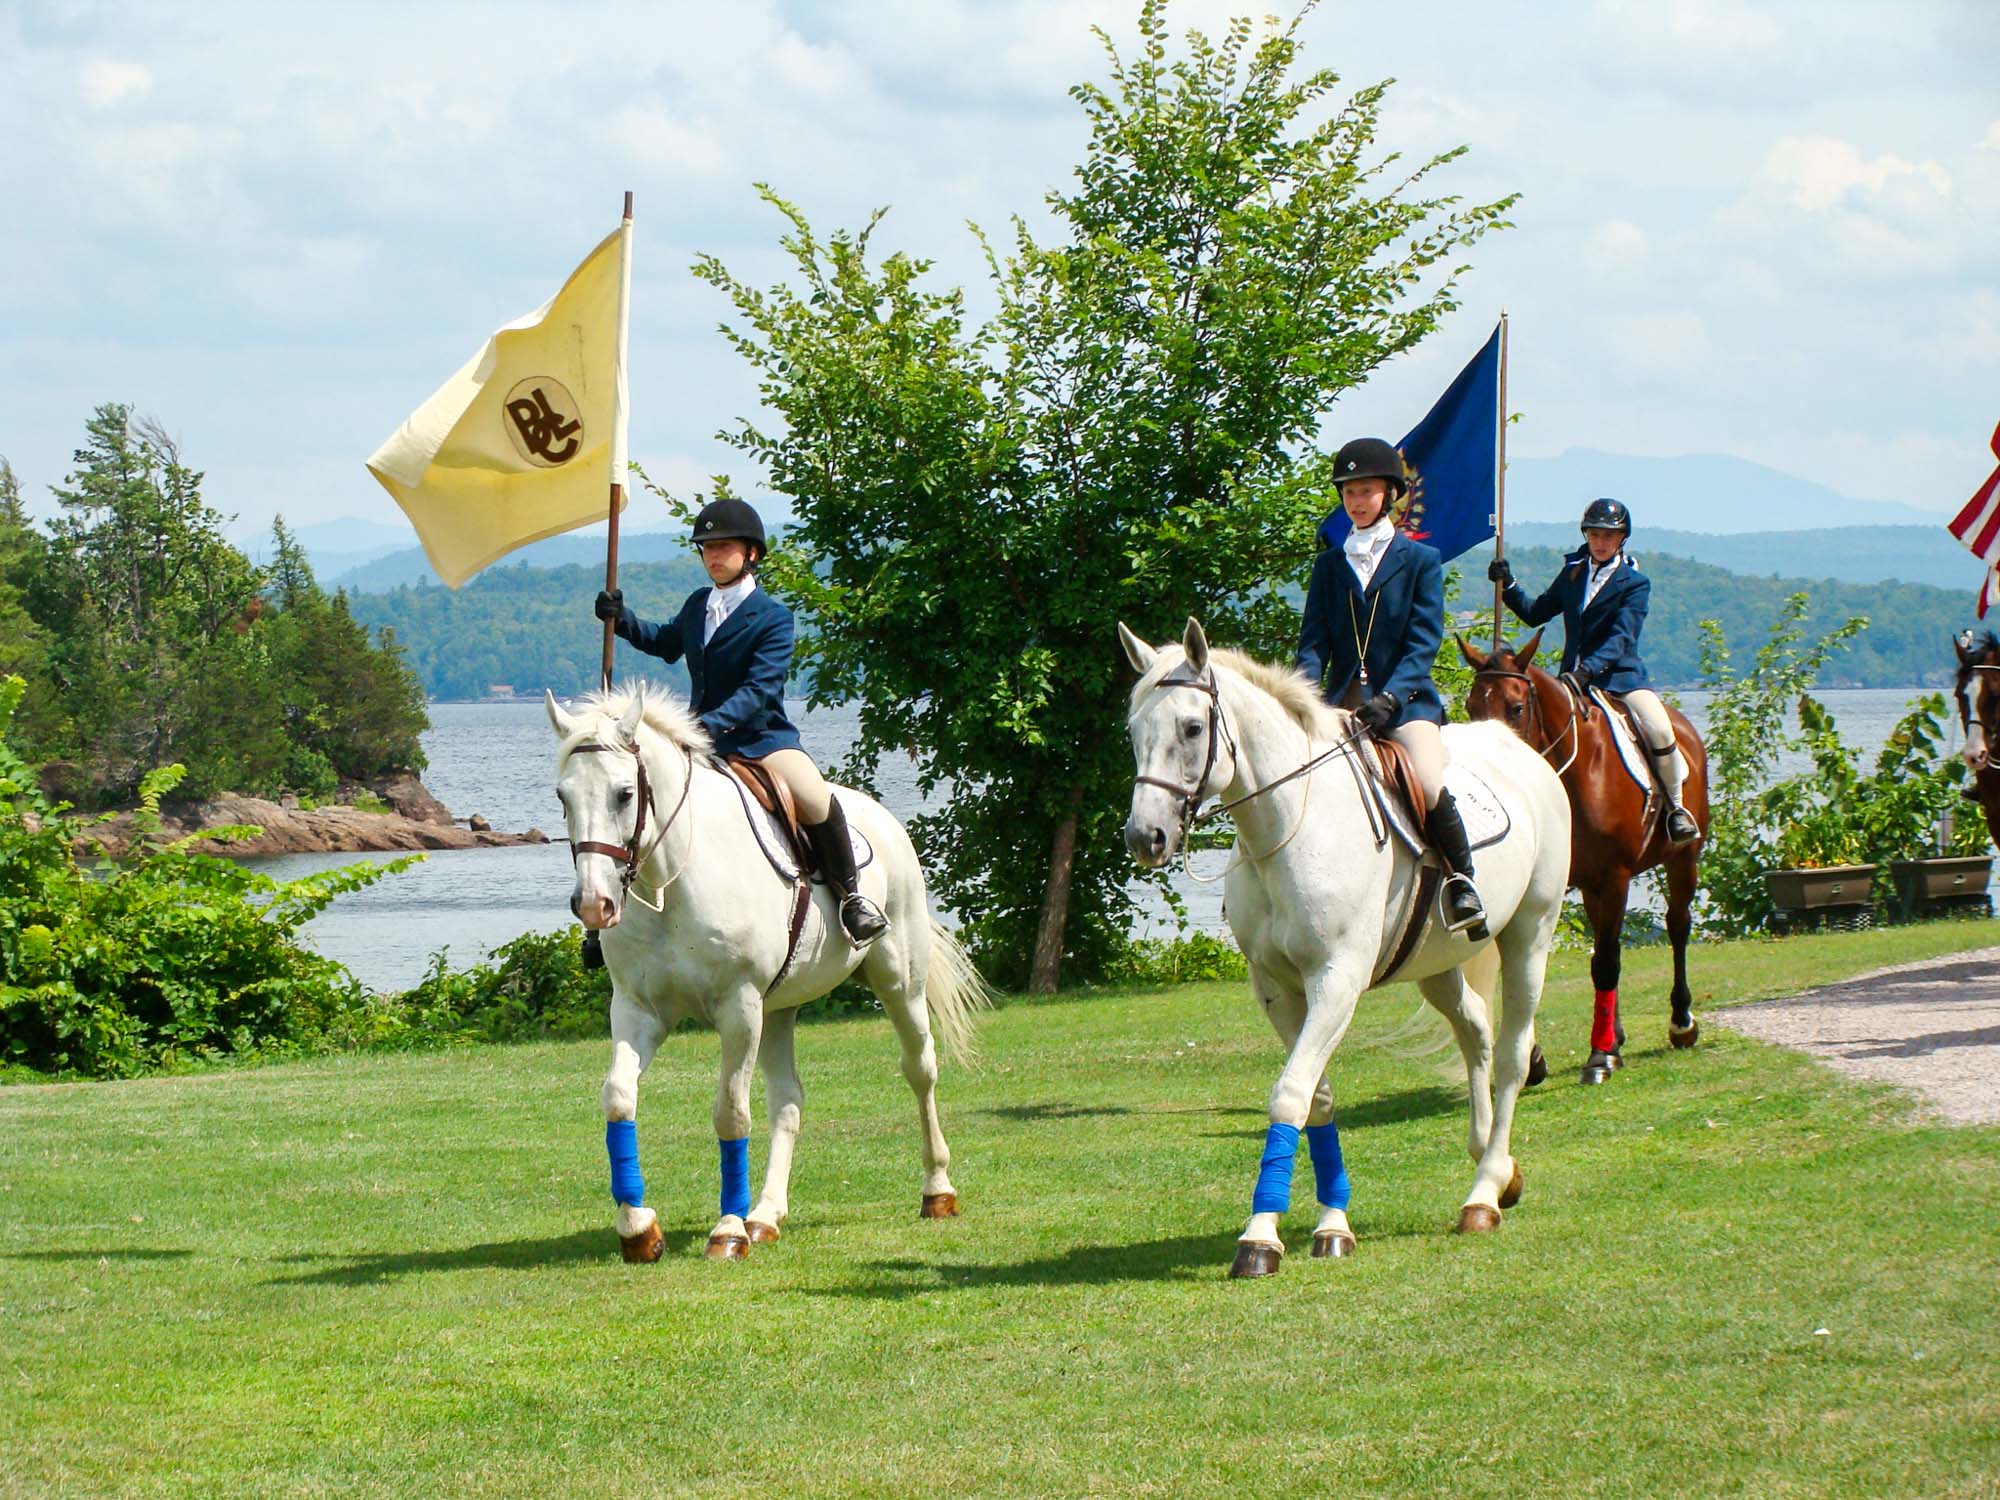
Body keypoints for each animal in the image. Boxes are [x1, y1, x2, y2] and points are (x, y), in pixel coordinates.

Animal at [547, 685, 989, 1263]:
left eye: (624, 794)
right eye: (563, 798)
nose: (593, 905)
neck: (673, 880)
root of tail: (883, 818)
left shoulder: (739, 1008)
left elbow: (731, 1113)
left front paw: (727, 1230)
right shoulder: (638, 1010)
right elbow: (619, 1098)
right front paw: (638, 1228)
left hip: (898, 983)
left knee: (920, 1070)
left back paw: (936, 1191)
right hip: (779, 1008)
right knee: (788, 1100)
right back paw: (766, 1215)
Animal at [1120, 619, 1571, 1278]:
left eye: (1192, 728)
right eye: (1133, 731)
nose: (1146, 837)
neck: (1289, 826)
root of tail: (1511, 743)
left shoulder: (1336, 980)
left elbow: (1289, 1095)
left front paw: (1259, 1240)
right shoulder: (1278, 988)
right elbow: (1318, 1098)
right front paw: (1333, 1225)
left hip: (1529, 938)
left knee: (1513, 1057)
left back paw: (1485, 1194)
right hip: (1436, 963)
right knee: (1476, 1033)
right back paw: (1495, 1166)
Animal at [1458, 630, 1709, 1086]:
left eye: (1516, 708)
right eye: (1471, 707)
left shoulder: (1615, 878)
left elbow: (1605, 964)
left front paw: (1600, 1057)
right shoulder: (1559, 885)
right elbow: (1532, 970)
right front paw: (1534, 1057)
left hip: (1682, 860)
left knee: (1677, 928)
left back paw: (1680, 1022)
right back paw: (1617, 1034)